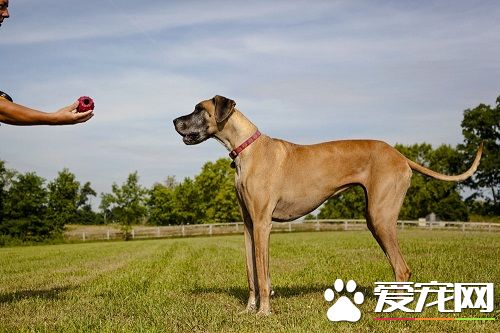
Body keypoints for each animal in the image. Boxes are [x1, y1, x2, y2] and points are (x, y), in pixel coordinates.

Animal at [173, 94, 480, 314]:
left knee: (402, 268)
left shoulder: (262, 224)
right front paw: (249, 310)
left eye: (199, 108)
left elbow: (262, 274)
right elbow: (251, 273)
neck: (246, 148)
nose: (174, 121)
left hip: (380, 217)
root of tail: (401, 156)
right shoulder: (249, 226)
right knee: (398, 267)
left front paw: (264, 312)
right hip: (376, 220)